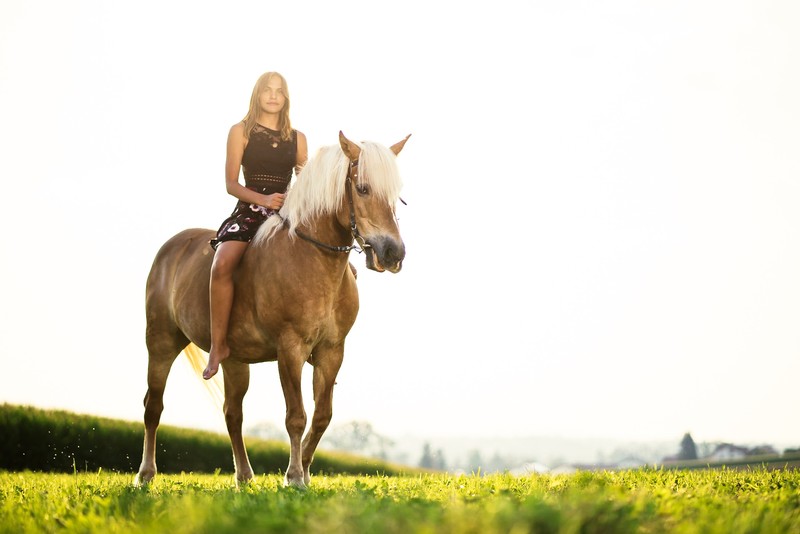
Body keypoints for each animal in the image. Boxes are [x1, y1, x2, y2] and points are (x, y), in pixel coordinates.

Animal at [134, 131, 410, 490]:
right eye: (362, 188)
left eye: (396, 194)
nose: (393, 253)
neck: (311, 257)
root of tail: (171, 248)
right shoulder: (290, 349)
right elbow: (296, 416)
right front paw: (293, 477)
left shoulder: (332, 351)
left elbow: (322, 416)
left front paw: (304, 469)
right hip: (162, 343)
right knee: (153, 407)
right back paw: (145, 474)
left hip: (234, 361)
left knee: (232, 413)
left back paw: (243, 476)